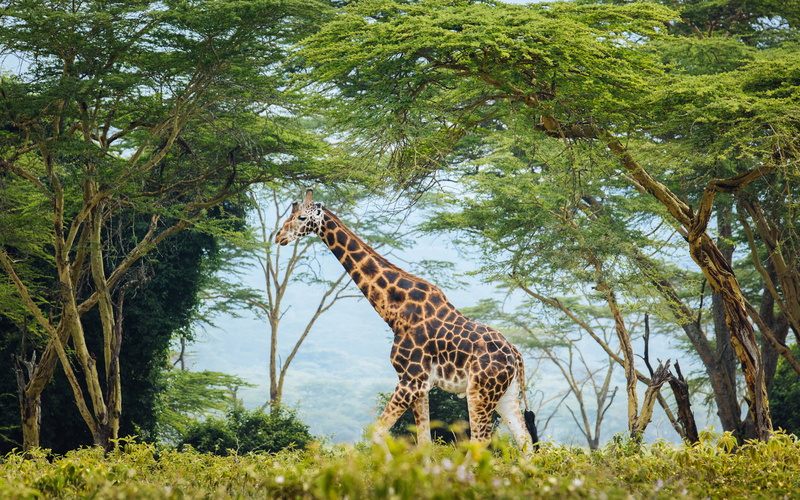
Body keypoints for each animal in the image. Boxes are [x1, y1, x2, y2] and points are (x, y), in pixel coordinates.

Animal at [275, 189, 538, 455]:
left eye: (301, 217)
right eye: (290, 214)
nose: (279, 236)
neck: (396, 311)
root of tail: (515, 353)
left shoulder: (411, 379)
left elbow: (378, 432)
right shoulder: (421, 385)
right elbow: (424, 442)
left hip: (479, 392)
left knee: (480, 441)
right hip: (505, 394)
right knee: (525, 441)